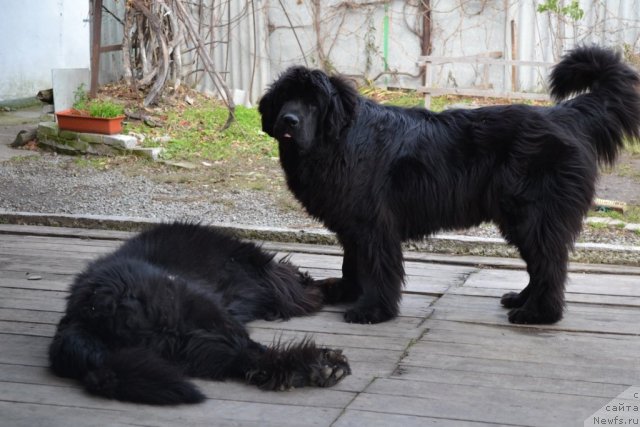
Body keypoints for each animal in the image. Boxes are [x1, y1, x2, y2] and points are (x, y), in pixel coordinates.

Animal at [258, 46, 640, 324]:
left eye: (312, 103)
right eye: (285, 98)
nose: (288, 121)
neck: (339, 139)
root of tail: (566, 114)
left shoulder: (374, 224)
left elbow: (378, 267)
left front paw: (372, 310)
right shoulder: (352, 223)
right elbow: (351, 261)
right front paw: (347, 292)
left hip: (533, 215)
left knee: (549, 263)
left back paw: (538, 314)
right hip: (521, 218)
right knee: (541, 264)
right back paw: (522, 299)